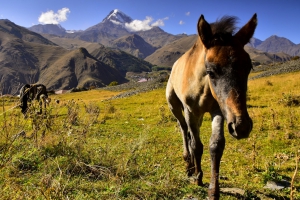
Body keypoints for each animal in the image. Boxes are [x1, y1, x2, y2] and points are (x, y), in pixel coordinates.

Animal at [165, 13, 256, 198]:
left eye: (249, 67)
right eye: (211, 71)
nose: (241, 126)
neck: (204, 87)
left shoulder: (219, 110)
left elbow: (215, 146)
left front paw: (213, 190)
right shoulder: (190, 111)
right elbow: (196, 145)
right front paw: (198, 178)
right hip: (175, 107)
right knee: (184, 130)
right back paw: (189, 165)